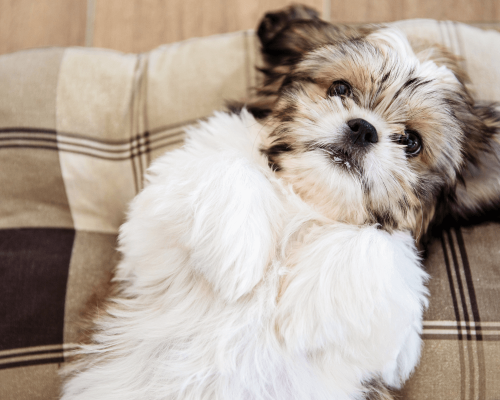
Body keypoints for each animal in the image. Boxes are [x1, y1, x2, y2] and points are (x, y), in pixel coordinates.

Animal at [60, 3, 500, 400]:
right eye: (340, 88)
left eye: (410, 142)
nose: (363, 129)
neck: (305, 203)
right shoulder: (146, 233)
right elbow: (230, 164)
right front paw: (236, 260)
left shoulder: (392, 343)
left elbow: (379, 237)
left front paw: (306, 317)